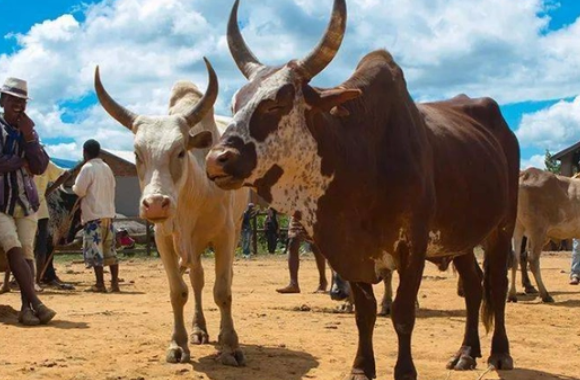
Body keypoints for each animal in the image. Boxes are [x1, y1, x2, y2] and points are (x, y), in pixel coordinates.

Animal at [205, 0, 520, 378]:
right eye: (235, 105)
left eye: (277, 101)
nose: (217, 160)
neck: (362, 161)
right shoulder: (348, 251)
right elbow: (364, 313)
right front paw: (361, 367)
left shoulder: (412, 246)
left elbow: (402, 313)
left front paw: (405, 371)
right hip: (459, 237)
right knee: (473, 286)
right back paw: (467, 352)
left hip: (502, 226)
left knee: (496, 286)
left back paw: (499, 353)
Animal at [510, 168, 580, 304]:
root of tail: (524, 174)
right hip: (538, 230)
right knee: (533, 260)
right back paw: (545, 295)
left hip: (518, 228)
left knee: (515, 258)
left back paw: (512, 295)